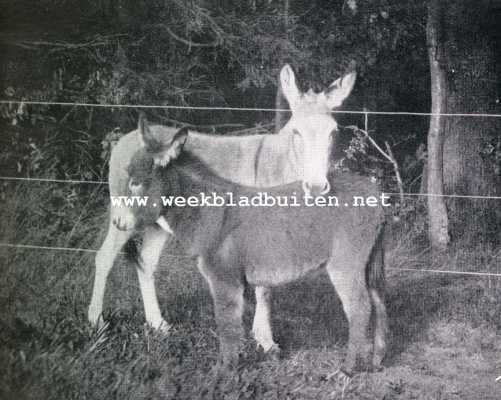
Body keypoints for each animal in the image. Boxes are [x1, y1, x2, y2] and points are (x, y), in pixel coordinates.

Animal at [88, 64, 358, 354]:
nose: (317, 187)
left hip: (156, 220)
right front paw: (265, 341)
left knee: (146, 262)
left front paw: (260, 336)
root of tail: (125, 139)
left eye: (333, 132)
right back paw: (96, 323)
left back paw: (157, 325)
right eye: (296, 132)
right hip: (126, 216)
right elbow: (265, 288)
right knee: (104, 257)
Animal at [127, 119, 388, 376]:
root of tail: (375, 193)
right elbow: (233, 325)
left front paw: (224, 372)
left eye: (136, 184)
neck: (207, 209)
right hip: (367, 263)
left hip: (345, 263)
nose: (121, 224)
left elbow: (227, 326)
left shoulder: (225, 279)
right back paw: (377, 361)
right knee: (379, 303)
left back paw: (347, 369)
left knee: (359, 309)